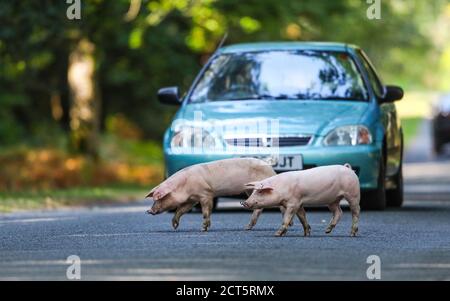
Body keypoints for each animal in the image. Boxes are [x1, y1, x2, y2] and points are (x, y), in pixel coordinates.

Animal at [145, 158, 284, 231]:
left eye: (159, 198)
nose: (149, 211)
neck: (183, 186)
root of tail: (272, 170)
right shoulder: (192, 199)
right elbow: (181, 210)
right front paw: (174, 226)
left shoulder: (205, 193)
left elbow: (206, 211)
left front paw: (203, 229)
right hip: (251, 191)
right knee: (259, 208)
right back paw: (247, 227)